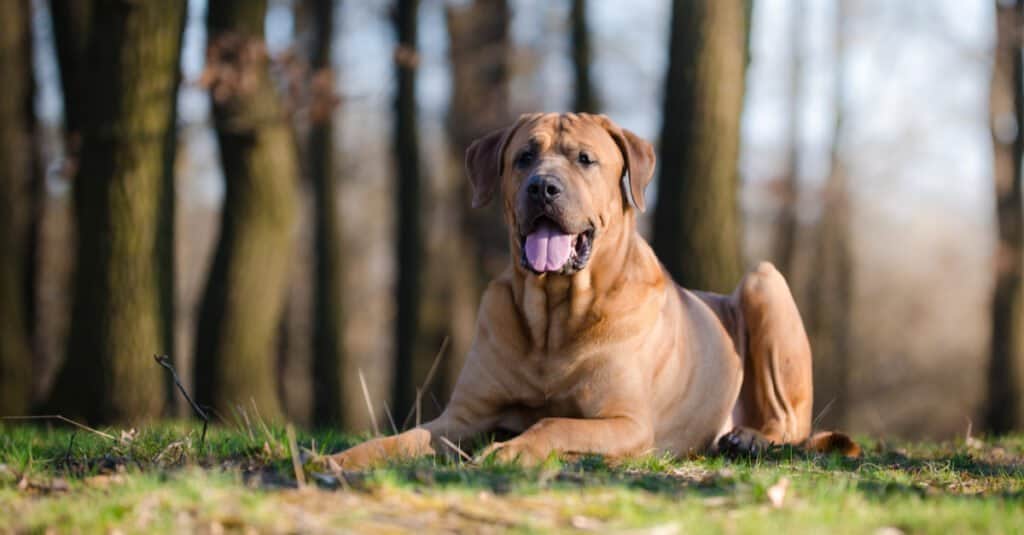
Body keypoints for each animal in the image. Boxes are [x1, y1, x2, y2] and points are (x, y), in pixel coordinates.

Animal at [325, 112, 856, 467]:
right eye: (524, 157)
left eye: (585, 159)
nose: (543, 187)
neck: (554, 316)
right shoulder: (464, 416)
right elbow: (407, 438)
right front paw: (343, 459)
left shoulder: (626, 421)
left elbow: (554, 422)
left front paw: (509, 450)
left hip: (764, 282)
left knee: (791, 424)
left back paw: (749, 438)